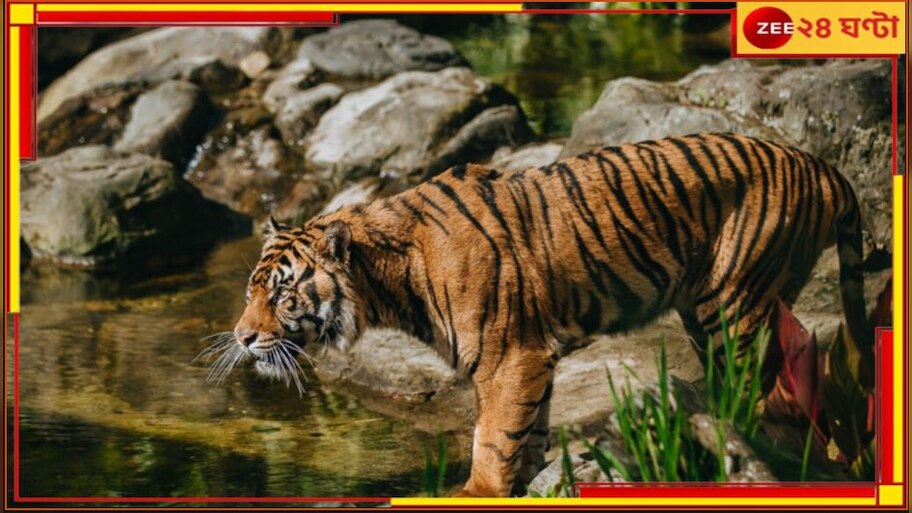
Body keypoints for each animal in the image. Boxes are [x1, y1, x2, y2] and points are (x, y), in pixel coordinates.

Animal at [220, 133, 872, 497]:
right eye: (251, 292)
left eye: (282, 294)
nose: (242, 337)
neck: (388, 278)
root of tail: (821, 165)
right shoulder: (535, 355)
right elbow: (527, 431)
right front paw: (531, 479)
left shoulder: (509, 357)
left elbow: (493, 435)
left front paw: (476, 490)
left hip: (732, 303)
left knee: (773, 387)